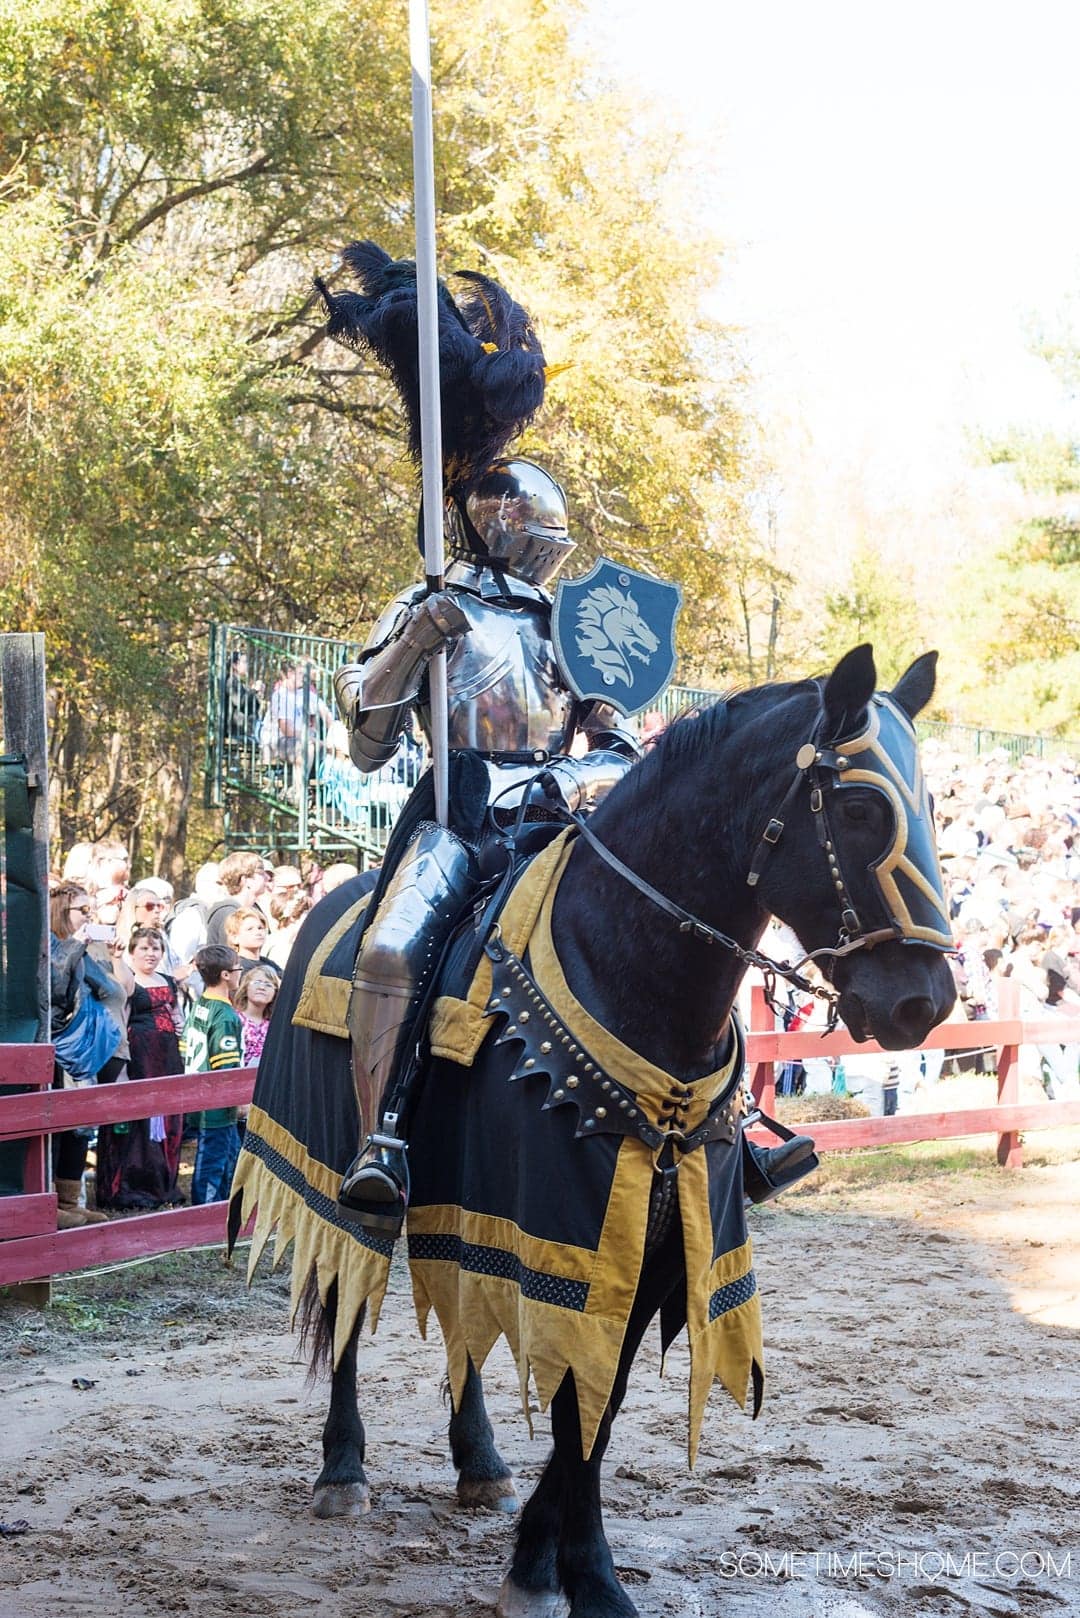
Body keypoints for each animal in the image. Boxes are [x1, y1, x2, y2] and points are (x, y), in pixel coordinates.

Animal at [234, 643, 952, 1618]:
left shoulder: (655, 1238)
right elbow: (578, 1395)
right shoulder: (569, 1227)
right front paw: (566, 1576)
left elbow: (597, 1407)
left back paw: (479, 1461)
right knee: (346, 1290)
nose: (925, 1001)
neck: (627, 963)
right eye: (861, 806)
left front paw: (566, 1567)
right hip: (341, 1176)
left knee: (459, 1315)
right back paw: (342, 1469)